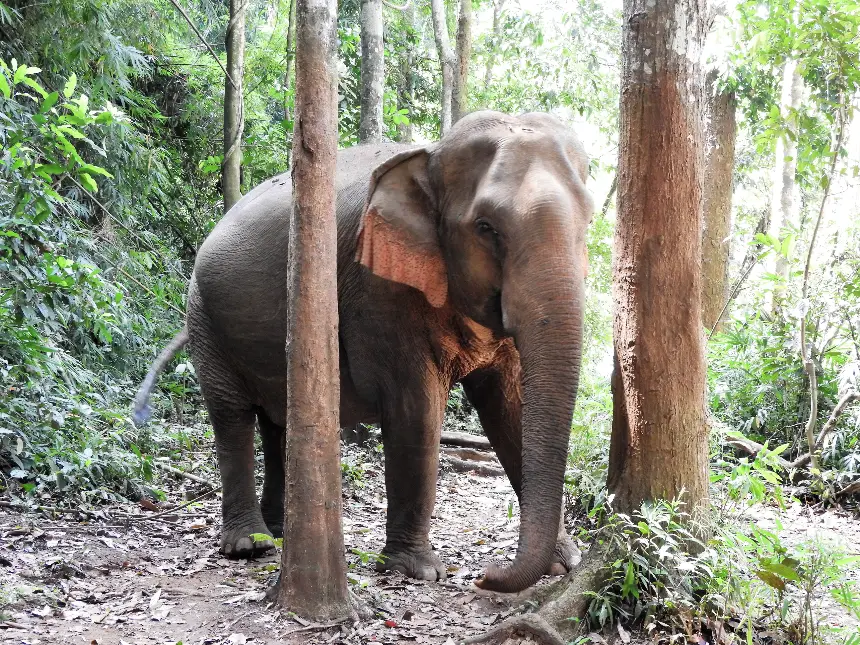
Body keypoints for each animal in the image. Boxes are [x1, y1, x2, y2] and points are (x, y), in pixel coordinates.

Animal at [133, 108, 592, 592]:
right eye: (486, 228)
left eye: (588, 223)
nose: (484, 576)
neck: (430, 153)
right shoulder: (379, 295)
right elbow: (415, 411)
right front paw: (417, 570)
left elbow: (510, 408)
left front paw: (565, 561)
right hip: (203, 316)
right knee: (231, 415)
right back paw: (250, 545)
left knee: (277, 422)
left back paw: (278, 530)